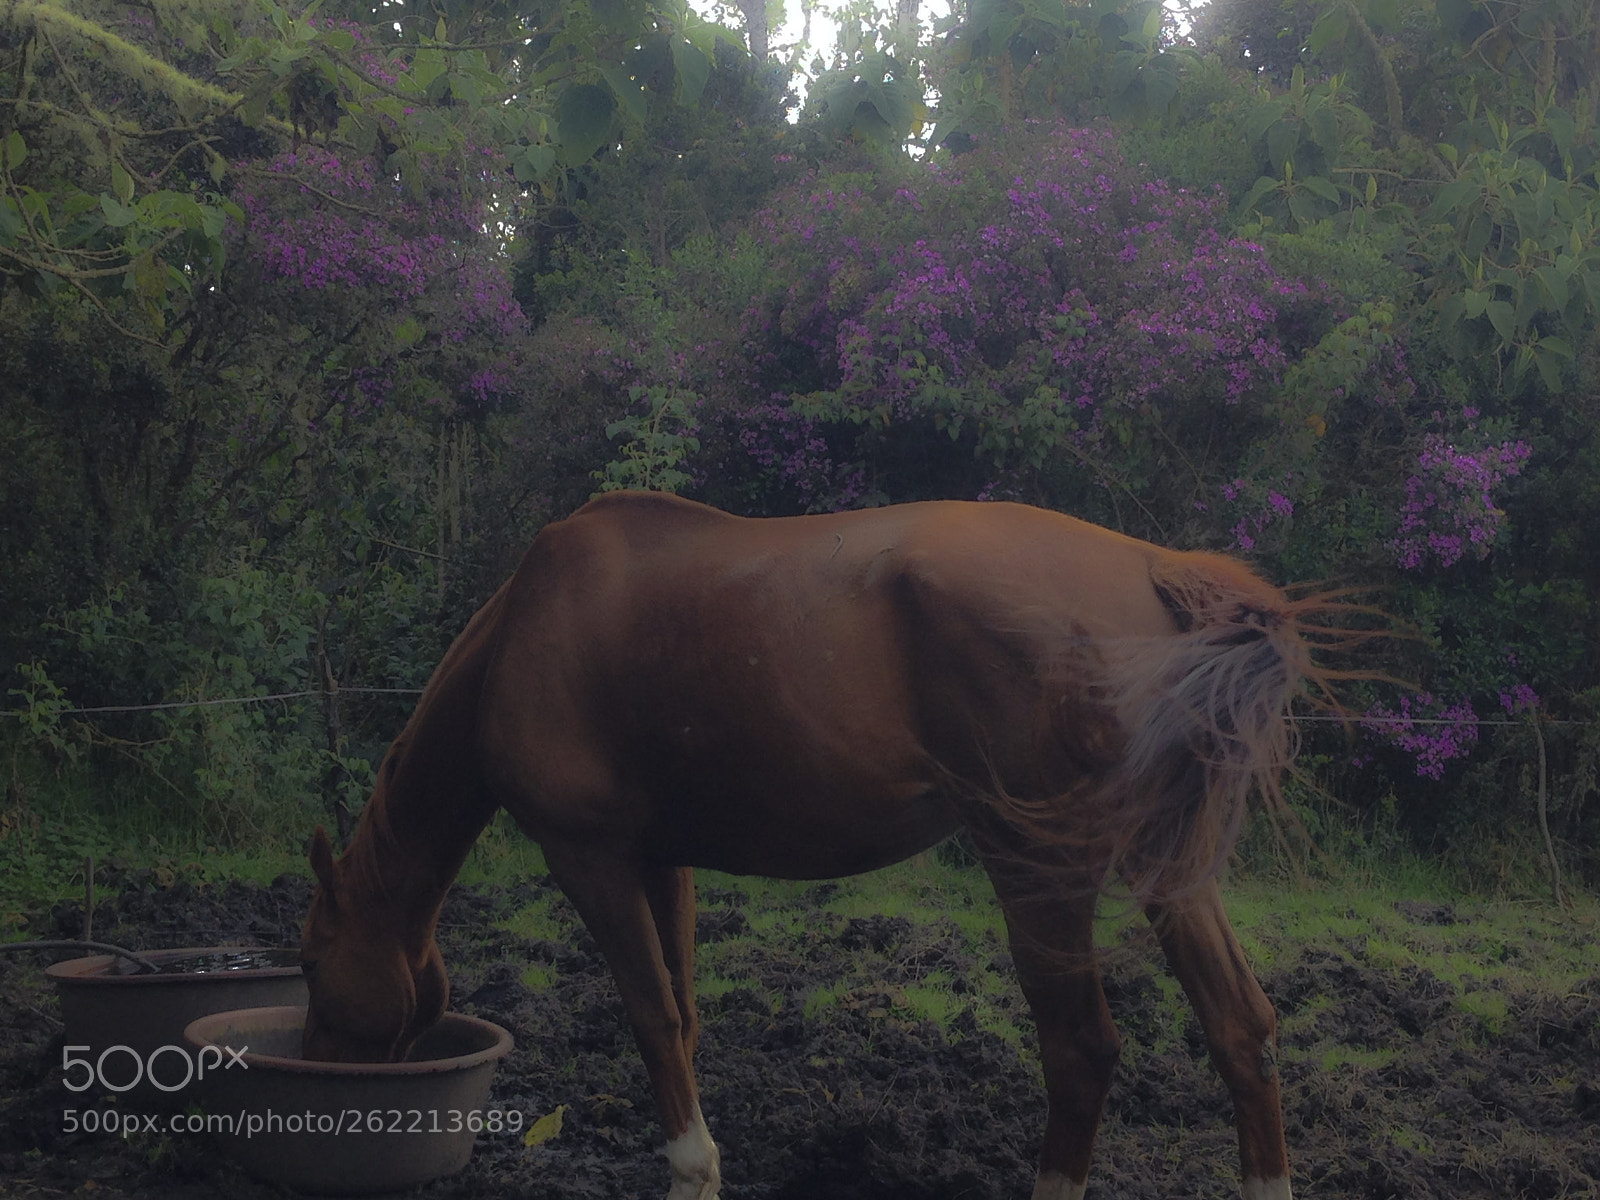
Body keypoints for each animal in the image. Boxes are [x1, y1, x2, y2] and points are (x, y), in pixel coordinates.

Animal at [301, 490, 1340, 1200]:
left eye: (311, 965)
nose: (321, 1077)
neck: (528, 628)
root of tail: (1152, 571)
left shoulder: (587, 859)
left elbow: (649, 1017)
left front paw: (690, 1171)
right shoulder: (660, 861)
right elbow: (684, 1013)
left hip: (1037, 866)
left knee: (1081, 1049)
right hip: (1167, 864)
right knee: (1244, 1030)